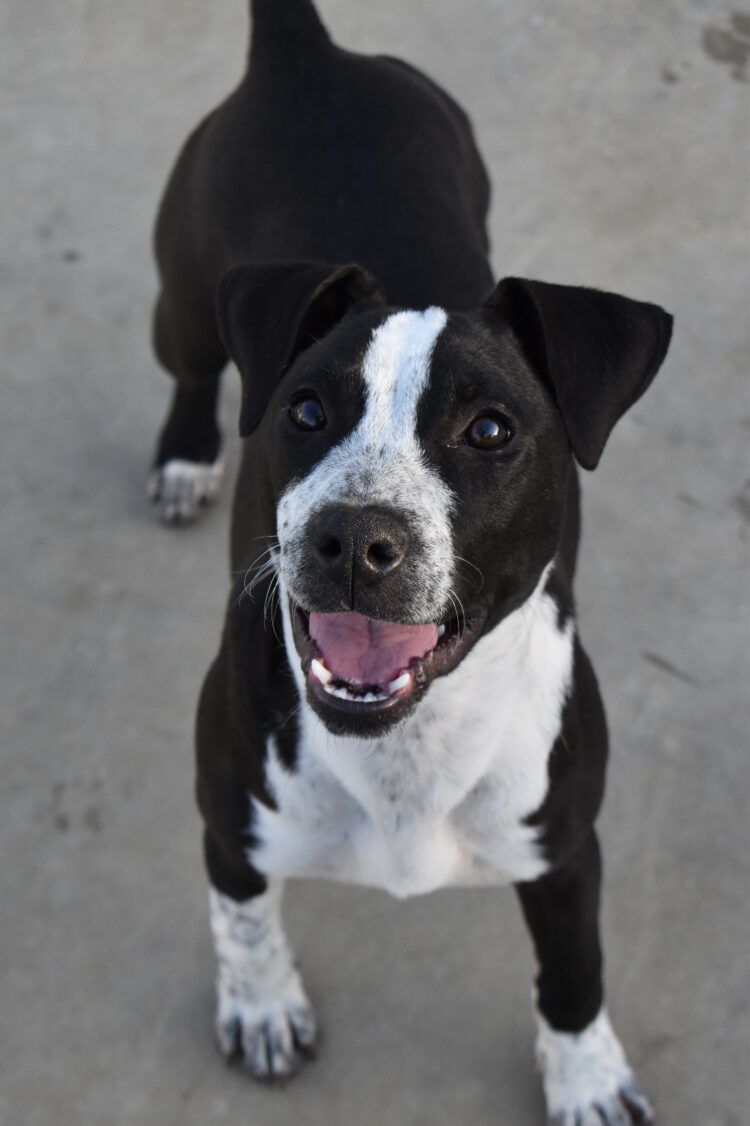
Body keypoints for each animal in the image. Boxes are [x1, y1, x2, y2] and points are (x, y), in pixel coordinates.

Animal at [150, 4, 671, 1121]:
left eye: (491, 430)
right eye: (305, 410)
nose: (353, 536)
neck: (406, 750)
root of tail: (307, 54)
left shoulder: (567, 849)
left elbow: (576, 971)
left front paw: (588, 1076)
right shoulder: (227, 822)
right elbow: (242, 922)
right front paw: (262, 1006)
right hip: (187, 299)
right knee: (193, 366)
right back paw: (183, 453)